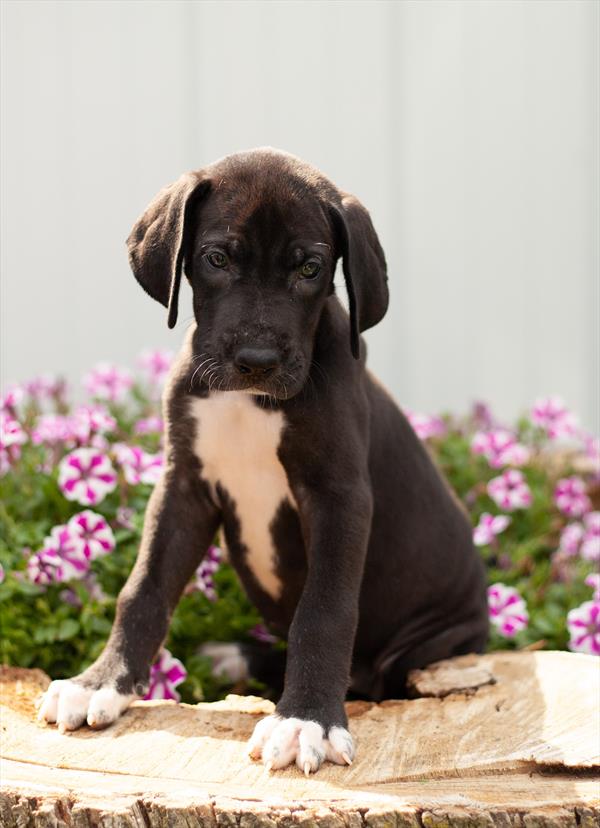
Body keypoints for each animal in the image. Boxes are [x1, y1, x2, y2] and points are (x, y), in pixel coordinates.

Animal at [38, 149, 488, 776]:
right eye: (217, 258)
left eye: (310, 269)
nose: (257, 360)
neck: (248, 402)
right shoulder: (183, 487)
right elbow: (144, 587)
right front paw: (100, 683)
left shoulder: (339, 497)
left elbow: (323, 611)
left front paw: (306, 721)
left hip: (436, 640)